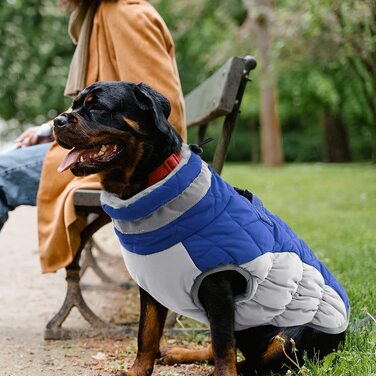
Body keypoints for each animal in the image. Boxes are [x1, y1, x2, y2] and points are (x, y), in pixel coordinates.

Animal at [53, 81, 350, 374]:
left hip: (291, 335)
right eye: (74, 105)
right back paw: (181, 353)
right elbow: (146, 333)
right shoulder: (151, 284)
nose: (58, 120)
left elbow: (223, 346)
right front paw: (138, 370)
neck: (147, 187)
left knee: (257, 362)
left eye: (98, 107)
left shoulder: (218, 287)